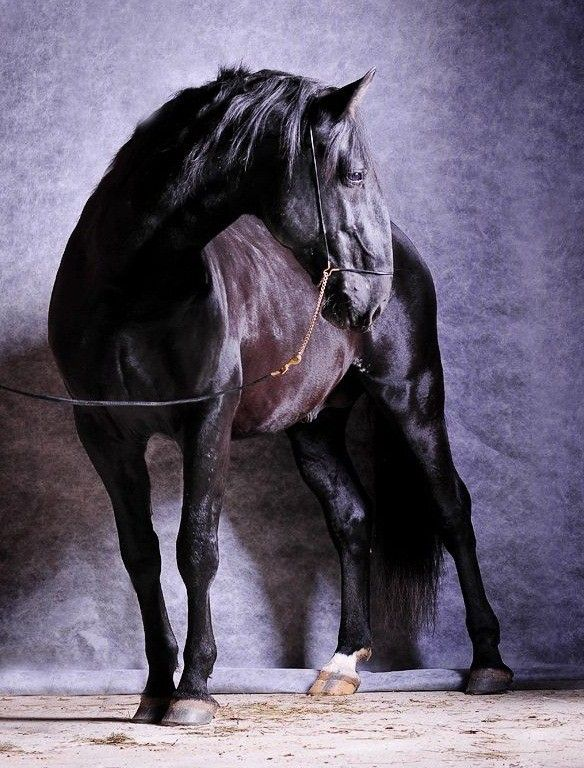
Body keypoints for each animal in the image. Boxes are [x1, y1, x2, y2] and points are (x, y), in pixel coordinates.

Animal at [48, 65, 512, 725]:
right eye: (355, 174)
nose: (373, 297)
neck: (133, 291)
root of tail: (406, 254)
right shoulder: (105, 435)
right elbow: (141, 555)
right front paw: (157, 687)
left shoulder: (207, 420)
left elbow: (197, 547)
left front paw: (193, 689)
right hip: (315, 427)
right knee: (351, 517)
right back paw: (341, 664)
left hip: (414, 398)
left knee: (452, 509)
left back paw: (488, 663)